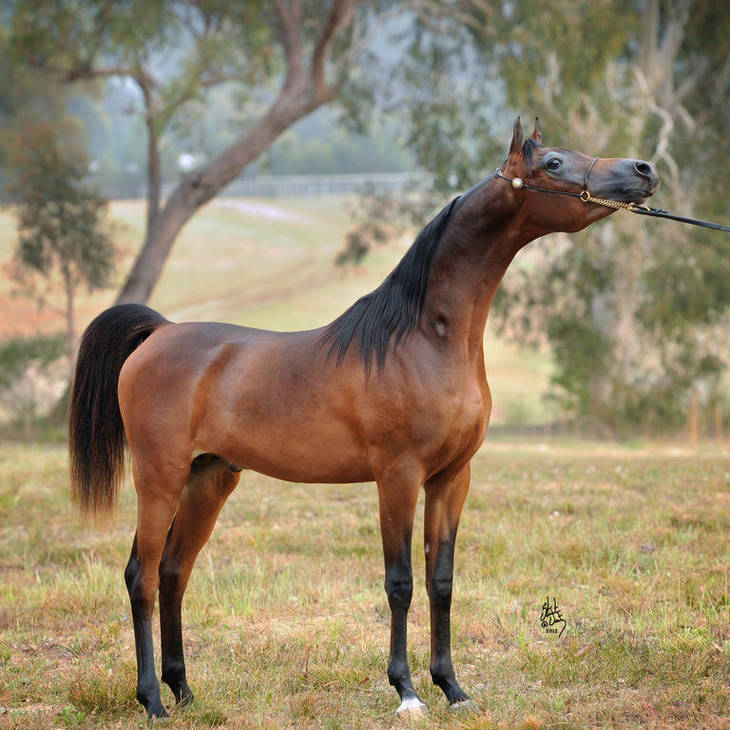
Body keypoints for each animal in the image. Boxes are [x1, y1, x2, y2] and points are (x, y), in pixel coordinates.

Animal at [68, 117, 658, 719]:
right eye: (554, 163)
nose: (643, 170)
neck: (424, 339)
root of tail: (160, 332)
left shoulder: (452, 478)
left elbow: (441, 581)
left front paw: (453, 688)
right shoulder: (397, 477)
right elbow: (400, 582)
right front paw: (407, 692)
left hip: (208, 480)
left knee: (173, 573)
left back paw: (184, 691)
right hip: (159, 477)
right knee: (140, 576)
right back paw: (152, 701)